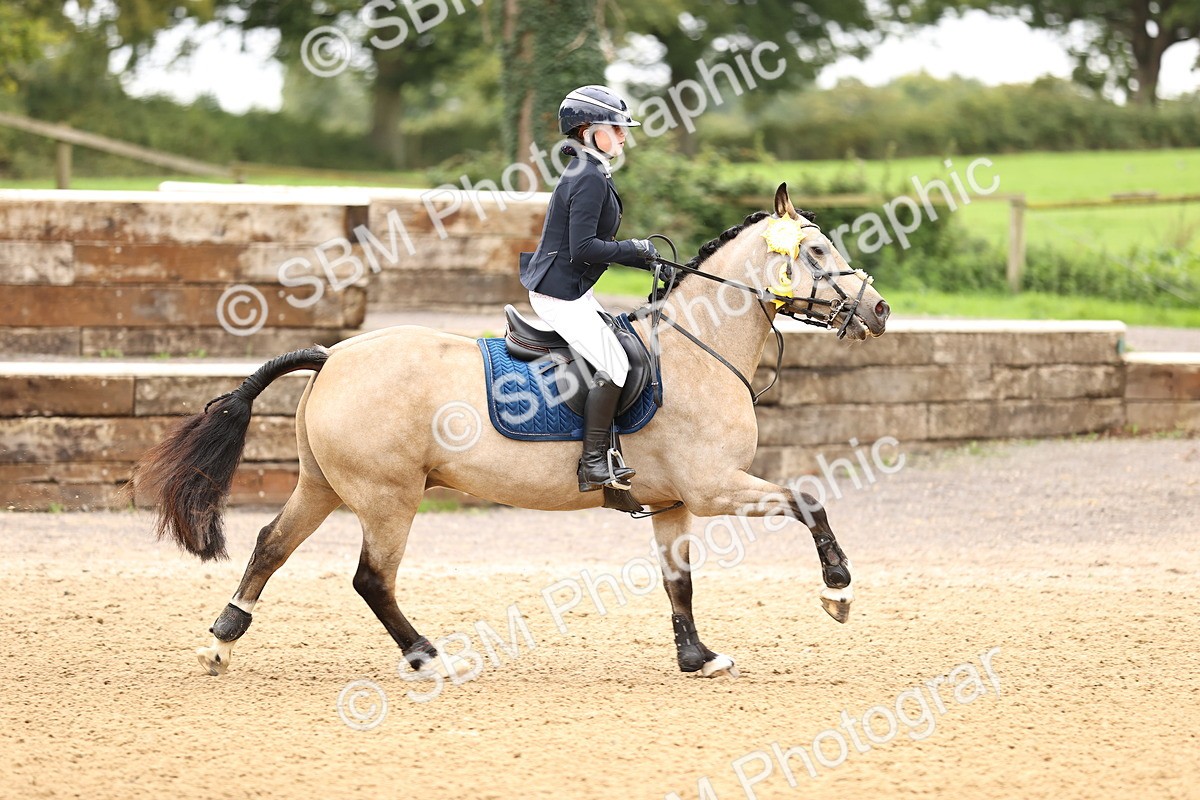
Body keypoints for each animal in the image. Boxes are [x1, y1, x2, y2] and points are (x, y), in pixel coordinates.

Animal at [134, 183, 890, 680]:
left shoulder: (674, 503)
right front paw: (838, 593)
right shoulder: (713, 488)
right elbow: (808, 500)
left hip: (323, 485)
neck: (699, 348)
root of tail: (335, 355)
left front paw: (697, 658)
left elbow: (679, 583)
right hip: (387, 497)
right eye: (816, 250)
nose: (879, 310)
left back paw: (221, 641)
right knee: (371, 578)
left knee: (270, 545)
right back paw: (428, 657)